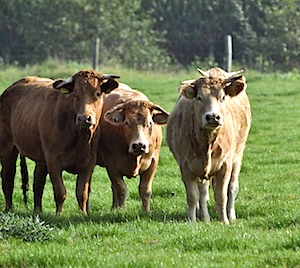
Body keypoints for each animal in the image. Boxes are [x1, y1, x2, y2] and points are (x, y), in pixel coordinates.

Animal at [0, 70, 119, 215]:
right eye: (75, 94)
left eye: (97, 93)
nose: (84, 118)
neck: (79, 137)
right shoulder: (53, 160)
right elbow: (60, 192)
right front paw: (59, 215)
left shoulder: (89, 162)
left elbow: (82, 193)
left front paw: (83, 214)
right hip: (7, 147)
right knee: (8, 177)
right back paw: (9, 208)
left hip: (40, 158)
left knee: (38, 181)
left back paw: (38, 210)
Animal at [97, 82, 170, 213]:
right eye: (126, 122)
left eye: (149, 123)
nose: (139, 145)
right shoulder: (111, 164)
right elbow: (121, 189)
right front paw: (120, 211)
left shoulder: (153, 161)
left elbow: (145, 190)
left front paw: (146, 211)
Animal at [166, 67, 251, 224]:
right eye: (199, 97)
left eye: (222, 97)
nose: (212, 116)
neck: (208, 142)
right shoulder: (186, 166)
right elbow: (193, 196)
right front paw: (192, 220)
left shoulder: (225, 165)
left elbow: (222, 195)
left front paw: (224, 221)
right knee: (203, 191)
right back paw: (204, 217)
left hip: (238, 157)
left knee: (232, 187)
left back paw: (231, 215)